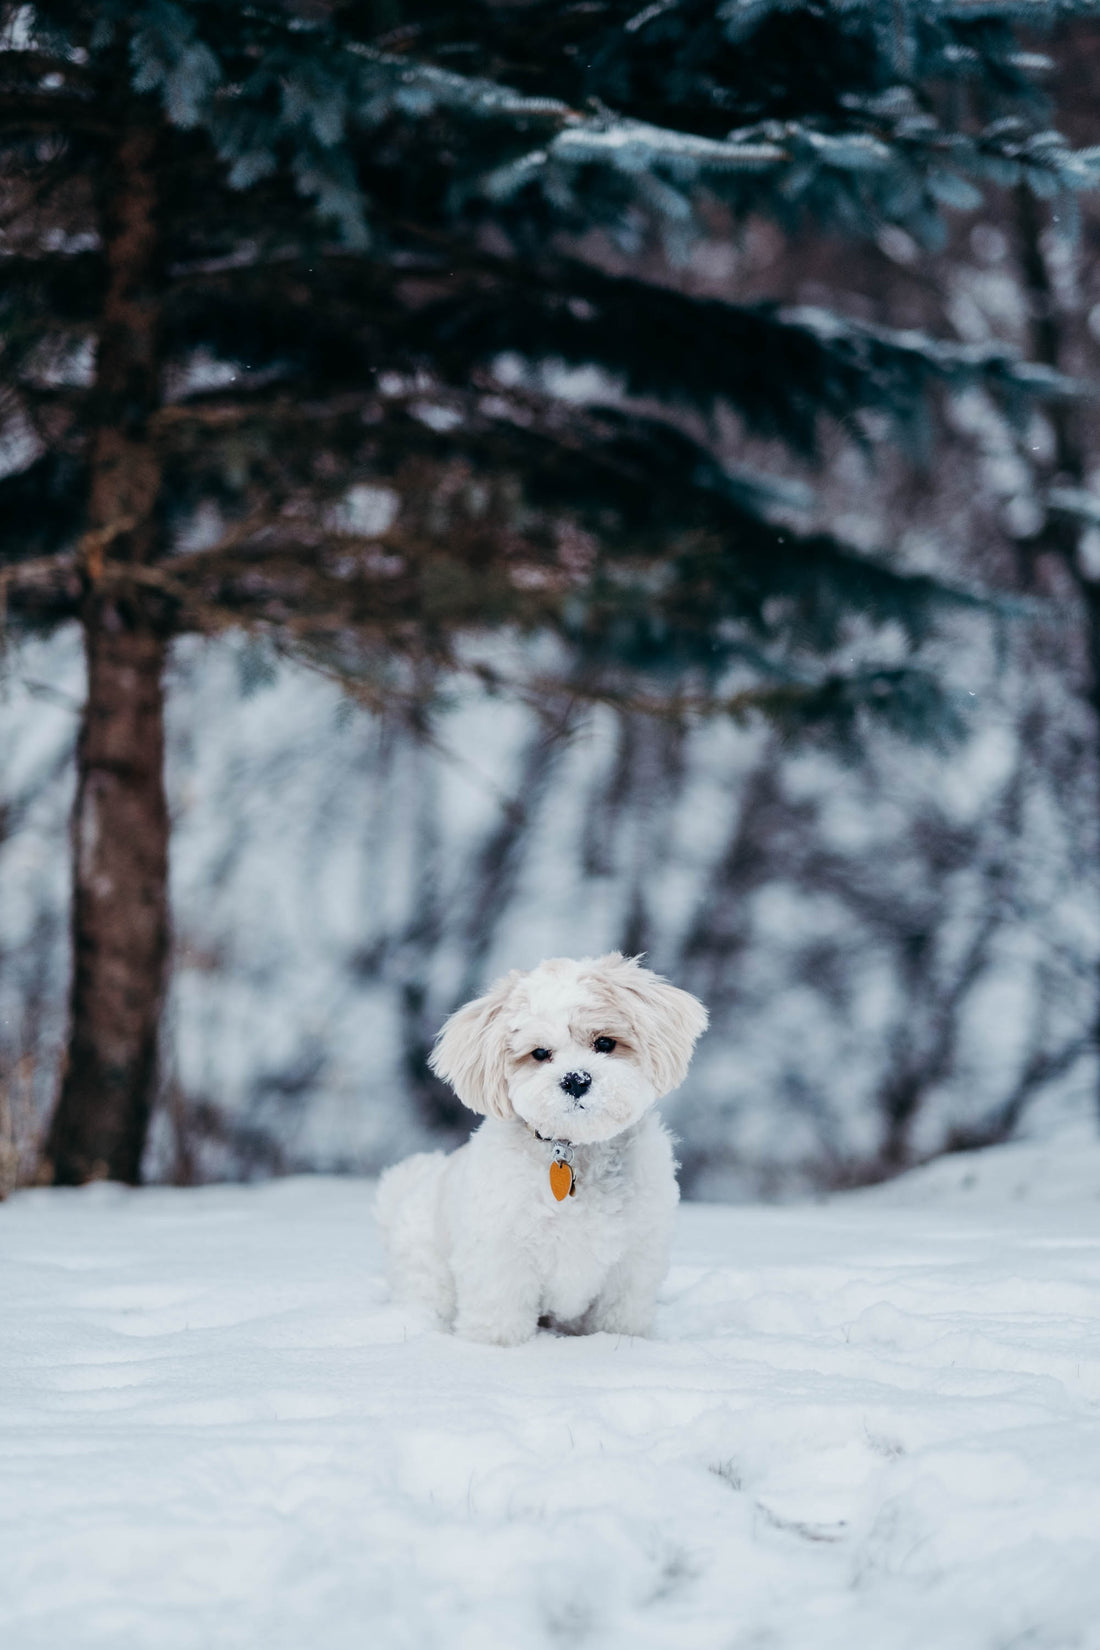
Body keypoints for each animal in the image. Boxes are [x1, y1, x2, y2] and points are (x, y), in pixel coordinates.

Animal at [376, 957, 705, 1339]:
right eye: (540, 1053)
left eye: (605, 1042)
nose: (576, 1079)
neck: (575, 1150)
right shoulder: (500, 1254)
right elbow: (499, 1313)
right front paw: (497, 1344)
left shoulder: (634, 1260)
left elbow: (620, 1317)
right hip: (427, 1270)